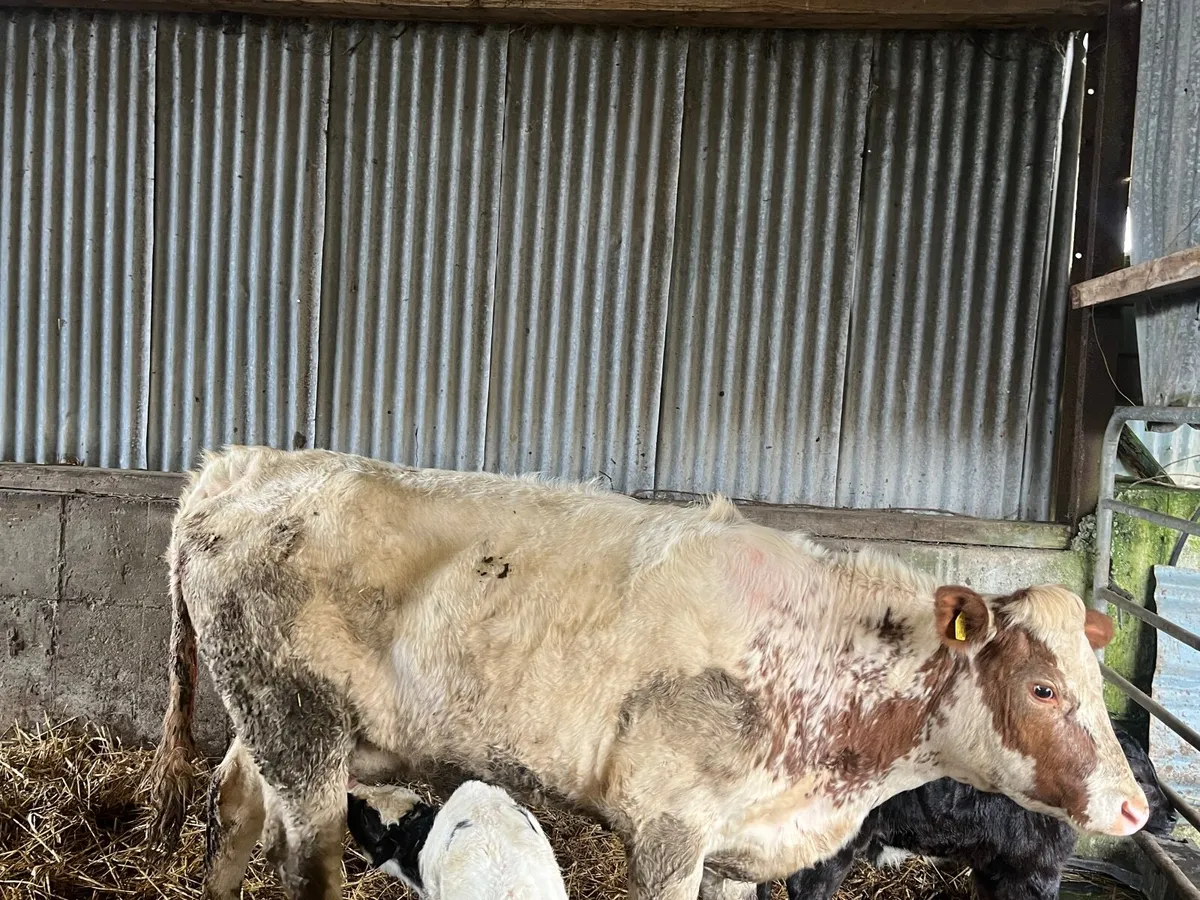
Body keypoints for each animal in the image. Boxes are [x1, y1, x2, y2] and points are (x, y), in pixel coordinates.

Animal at [146, 445, 1148, 900]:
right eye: (1043, 688)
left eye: (1098, 685)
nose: (1136, 807)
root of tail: (248, 466)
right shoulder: (669, 830)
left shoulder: (744, 849)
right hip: (301, 727)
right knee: (305, 856)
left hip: (271, 717)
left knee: (234, 803)